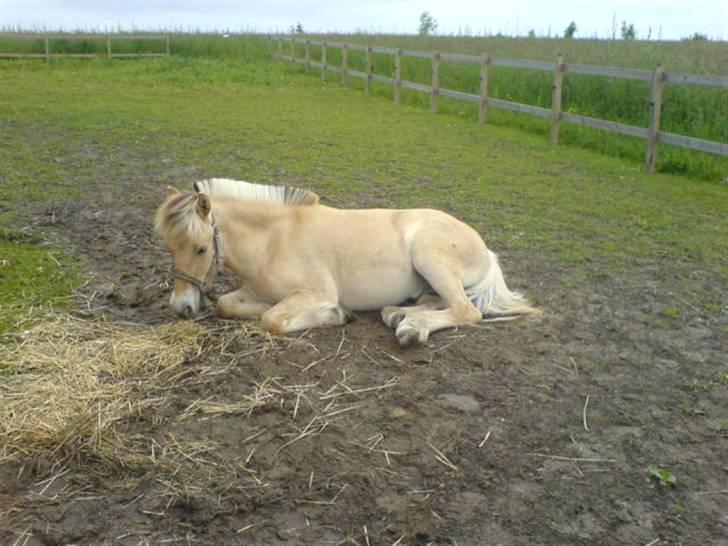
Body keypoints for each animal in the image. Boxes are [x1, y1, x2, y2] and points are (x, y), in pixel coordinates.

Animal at [155, 177, 540, 344]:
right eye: (170, 247)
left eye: (201, 249)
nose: (181, 308)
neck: (274, 240)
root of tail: (485, 249)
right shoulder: (252, 292)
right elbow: (227, 305)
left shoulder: (314, 293)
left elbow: (272, 320)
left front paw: (336, 315)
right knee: (439, 301)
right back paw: (397, 314)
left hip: (429, 256)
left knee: (466, 310)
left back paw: (412, 328)